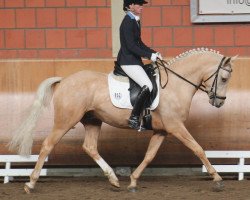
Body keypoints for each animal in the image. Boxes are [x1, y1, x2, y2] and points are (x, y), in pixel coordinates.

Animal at [8, 48, 236, 194]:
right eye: (224, 79)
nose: (219, 102)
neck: (175, 84)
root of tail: (64, 80)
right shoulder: (176, 127)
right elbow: (198, 149)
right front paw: (217, 179)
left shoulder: (162, 130)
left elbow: (149, 156)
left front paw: (133, 182)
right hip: (65, 121)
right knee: (47, 145)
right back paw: (31, 184)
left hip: (93, 121)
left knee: (89, 147)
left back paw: (114, 179)